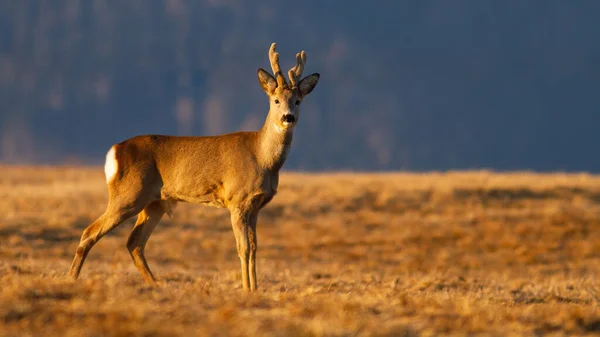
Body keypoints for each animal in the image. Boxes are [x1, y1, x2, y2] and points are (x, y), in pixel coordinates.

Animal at [66, 42, 322, 288]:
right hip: (128, 194)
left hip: (155, 202)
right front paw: (246, 289)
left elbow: (255, 248)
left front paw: (256, 289)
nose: (288, 117)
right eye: (276, 100)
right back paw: (71, 278)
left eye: (297, 101)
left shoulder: (256, 206)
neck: (263, 158)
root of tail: (115, 151)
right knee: (90, 232)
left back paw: (156, 284)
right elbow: (244, 248)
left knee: (134, 242)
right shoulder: (237, 200)